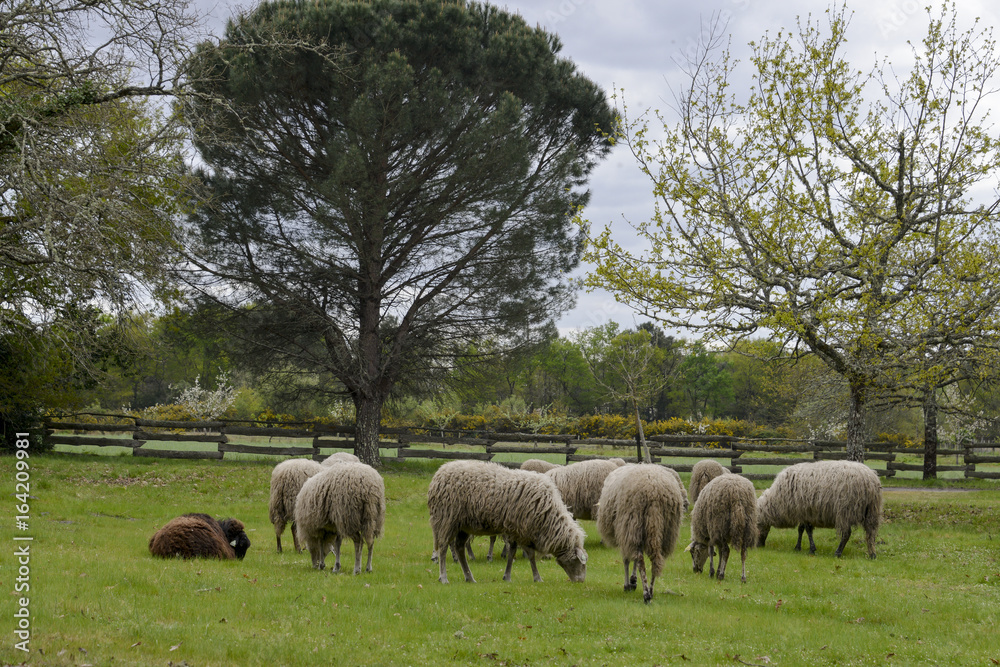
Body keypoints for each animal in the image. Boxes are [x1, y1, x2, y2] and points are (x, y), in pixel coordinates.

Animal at [427, 460, 587, 584]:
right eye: (580, 563)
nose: (580, 581)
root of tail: (440, 471)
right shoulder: (522, 530)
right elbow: (529, 555)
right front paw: (537, 577)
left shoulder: (516, 530)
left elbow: (512, 552)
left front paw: (507, 576)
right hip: (447, 518)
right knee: (443, 547)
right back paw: (444, 577)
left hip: (463, 525)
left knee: (460, 548)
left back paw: (469, 577)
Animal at [596, 464, 684, 603]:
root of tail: (654, 491)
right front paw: (633, 581)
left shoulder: (625, 532)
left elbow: (627, 559)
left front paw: (628, 584)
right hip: (666, 530)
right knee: (656, 560)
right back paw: (651, 591)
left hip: (632, 521)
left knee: (640, 560)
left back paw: (646, 595)